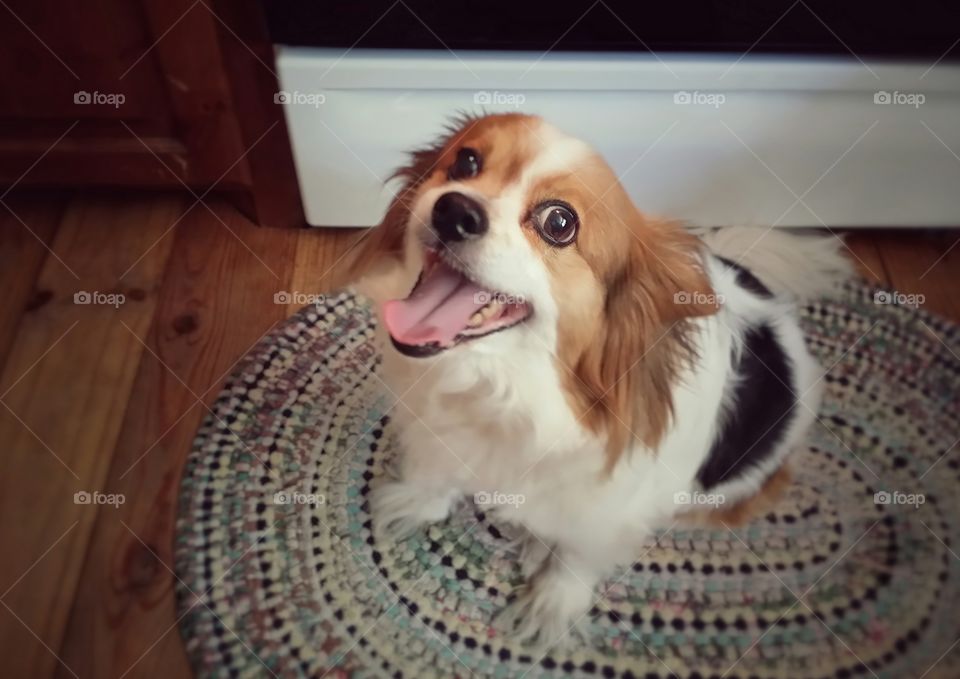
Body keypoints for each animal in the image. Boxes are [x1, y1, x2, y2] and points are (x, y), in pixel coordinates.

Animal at [346, 113, 856, 648]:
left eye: (559, 223)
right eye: (465, 162)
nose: (455, 210)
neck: (508, 391)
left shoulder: (607, 512)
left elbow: (577, 557)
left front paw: (552, 603)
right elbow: (439, 472)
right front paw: (419, 500)